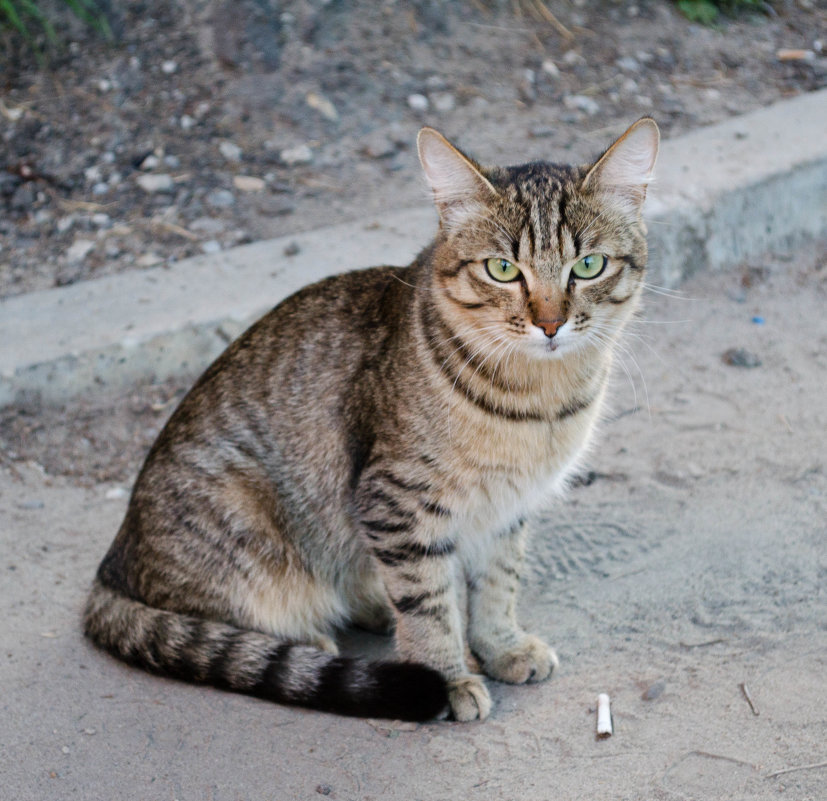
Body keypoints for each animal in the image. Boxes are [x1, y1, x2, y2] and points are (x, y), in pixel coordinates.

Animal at [85, 120, 660, 724]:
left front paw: (500, 646)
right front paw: (445, 677)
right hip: (242, 517)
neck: (539, 403)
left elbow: (498, 583)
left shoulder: (506, 507)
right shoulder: (398, 502)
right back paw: (312, 637)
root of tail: (111, 564)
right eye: (502, 269)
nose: (550, 324)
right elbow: (428, 605)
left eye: (588, 265)